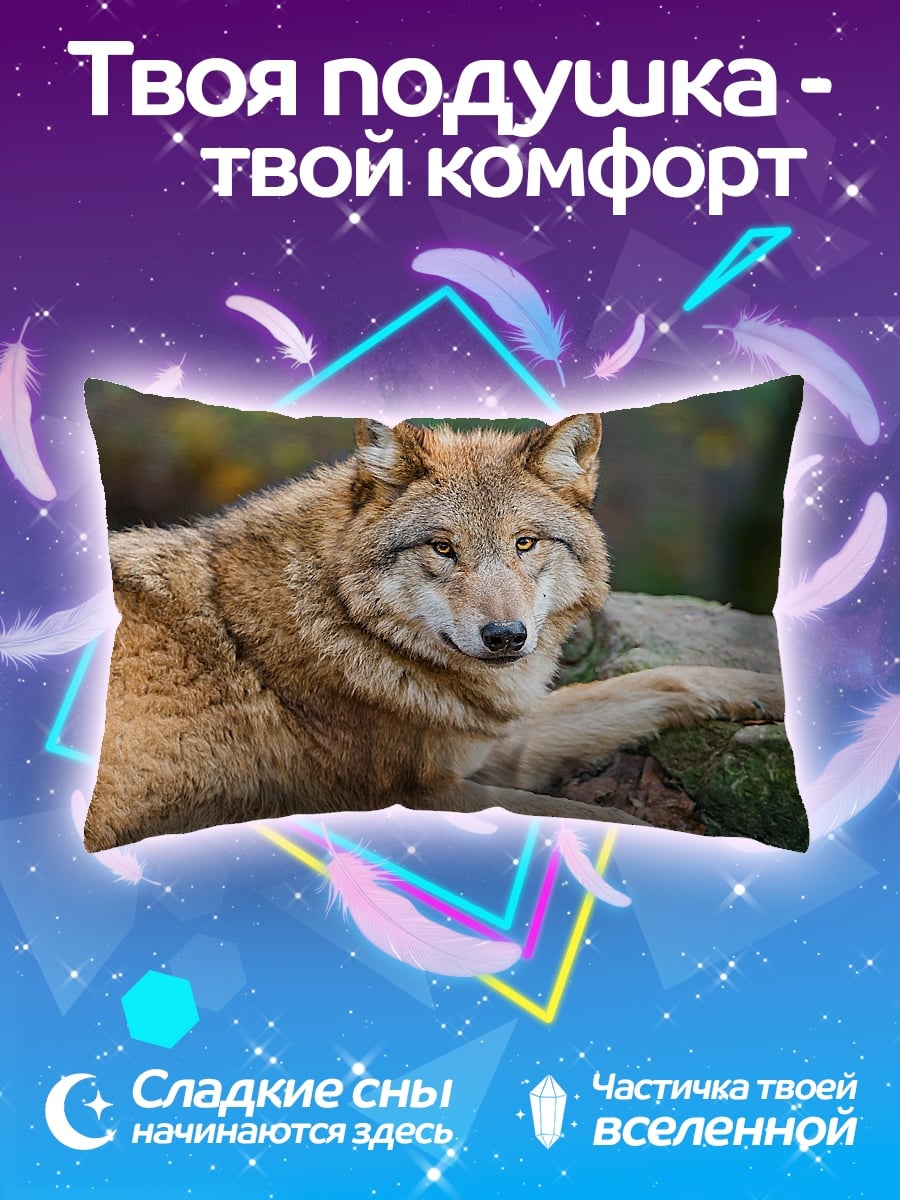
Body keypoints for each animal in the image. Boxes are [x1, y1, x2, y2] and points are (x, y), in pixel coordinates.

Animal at [84, 413, 784, 851]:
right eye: (444, 548)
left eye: (524, 543)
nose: (505, 637)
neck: (345, 622)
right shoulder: (423, 793)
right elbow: (592, 812)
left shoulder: (486, 741)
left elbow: (652, 682)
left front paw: (767, 688)